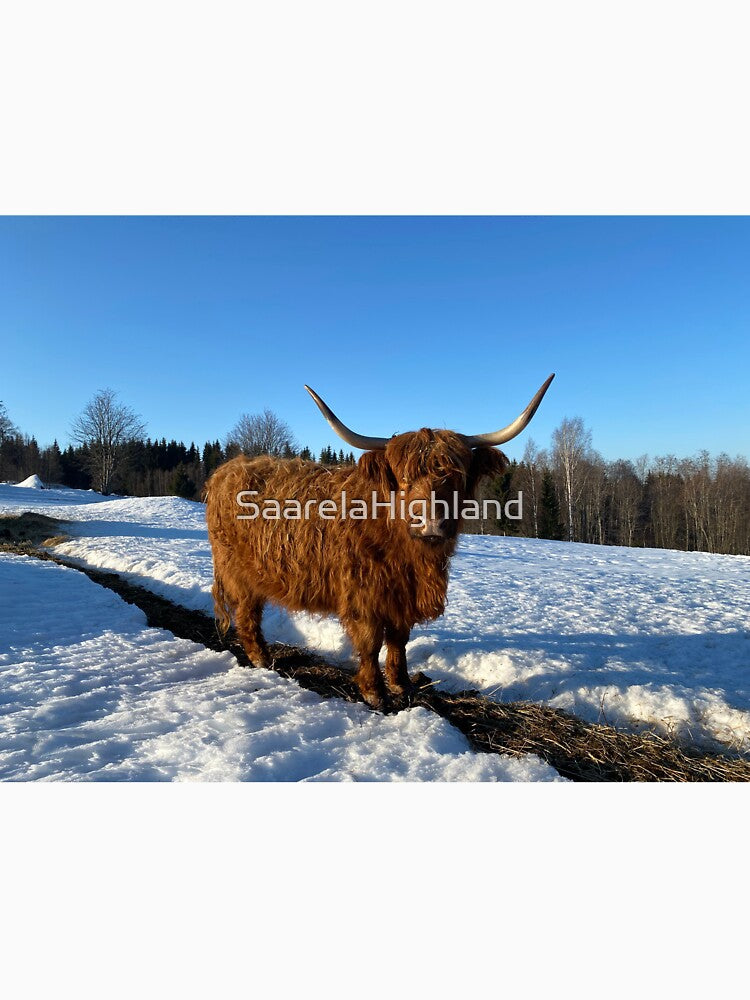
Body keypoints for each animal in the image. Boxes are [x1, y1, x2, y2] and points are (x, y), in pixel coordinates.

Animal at [205, 375, 554, 711]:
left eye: (455, 477)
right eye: (404, 479)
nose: (431, 524)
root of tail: (228, 469)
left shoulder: (402, 598)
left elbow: (399, 640)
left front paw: (402, 684)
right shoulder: (363, 596)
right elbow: (371, 643)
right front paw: (374, 692)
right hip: (237, 571)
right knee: (247, 612)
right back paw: (261, 659)